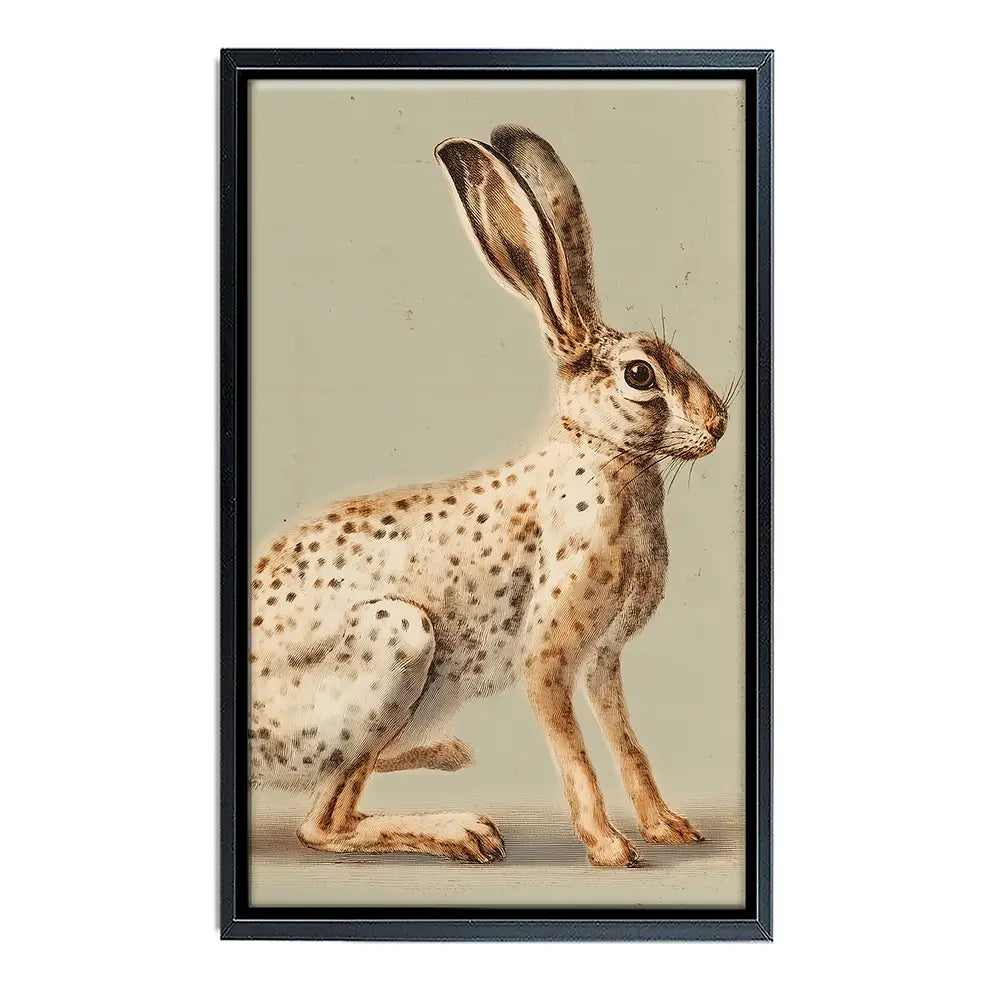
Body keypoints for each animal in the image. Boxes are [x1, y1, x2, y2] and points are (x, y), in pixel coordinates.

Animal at [248, 124, 729, 867]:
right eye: (640, 375)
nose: (719, 425)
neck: (607, 459)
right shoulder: (547, 657)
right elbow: (578, 759)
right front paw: (610, 849)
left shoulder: (604, 660)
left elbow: (628, 744)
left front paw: (667, 827)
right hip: (399, 645)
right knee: (323, 824)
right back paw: (464, 830)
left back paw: (449, 756)